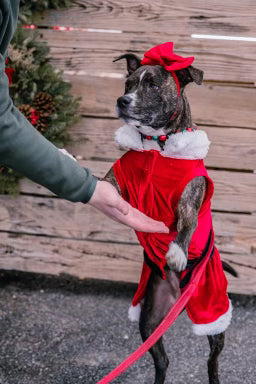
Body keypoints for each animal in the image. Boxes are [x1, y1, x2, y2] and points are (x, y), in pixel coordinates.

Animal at [101, 54, 234, 384]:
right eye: (128, 83)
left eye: (152, 85)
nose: (122, 101)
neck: (157, 146)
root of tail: (179, 293)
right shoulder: (115, 181)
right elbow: (99, 184)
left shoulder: (188, 201)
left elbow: (185, 227)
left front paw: (176, 252)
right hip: (149, 318)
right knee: (163, 360)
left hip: (213, 311)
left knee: (212, 360)